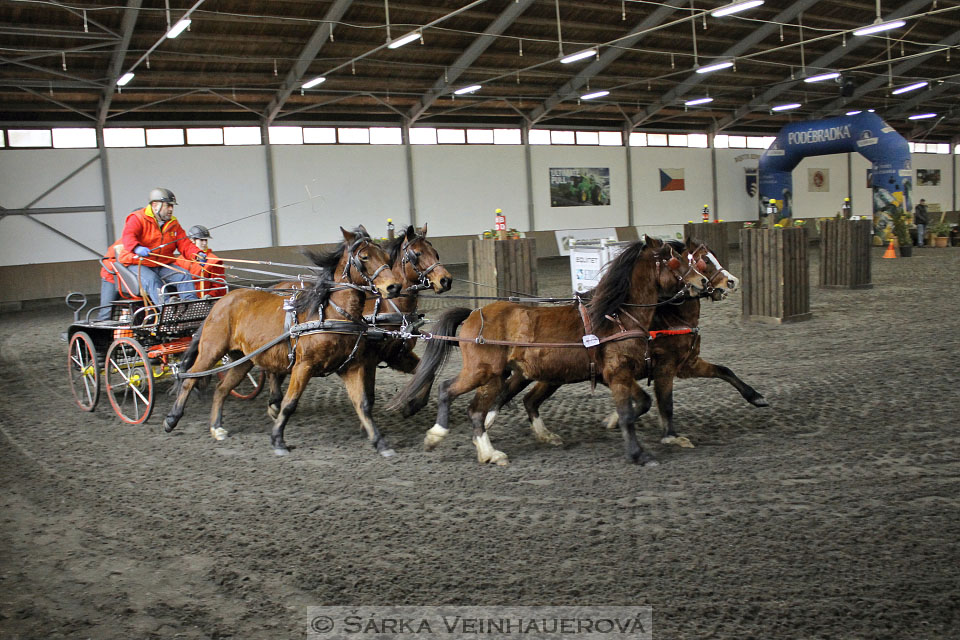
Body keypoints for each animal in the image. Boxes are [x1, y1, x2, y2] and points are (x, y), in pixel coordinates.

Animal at [163, 228, 404, 458]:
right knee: (189, 379)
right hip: (211, 351)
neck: (331, 313)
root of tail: (220, 303)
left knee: (222, 389)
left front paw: (380, 443)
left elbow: (362, 405)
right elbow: (289, 403)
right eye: (364, 257)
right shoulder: (303, 366)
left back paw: (216, 427)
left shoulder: (351, 367)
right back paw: (172, 419)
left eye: (386, 256)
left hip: (243, 360)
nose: (394, 287)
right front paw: (278, 440)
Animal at [258, 222, 454, 432]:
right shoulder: (369, 358)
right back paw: (274, 401)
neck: (387, 307)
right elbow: (369, 393)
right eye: (417, 253)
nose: (446, 280)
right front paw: (366, 424)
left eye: (435, 253)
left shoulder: (396, 355)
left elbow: (427, 372)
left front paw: (412, 406)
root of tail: (275, 286)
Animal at [390, 238, 712, 468]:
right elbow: (627, 414)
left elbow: (642, 402)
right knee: (449, 392)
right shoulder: (617, 373)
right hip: (482, 372)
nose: (703, 282)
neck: (617, 315)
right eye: (674, 259)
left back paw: (491, 451)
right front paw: (638, 454)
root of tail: (473, 313)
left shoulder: (621, 373)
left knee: (478, 410)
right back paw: (440, 436)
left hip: (498, 376)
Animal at [484, 239, 768, 450]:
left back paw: (538, 434)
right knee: (513, 395)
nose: (731, 282)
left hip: (548, 376)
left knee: (527, 400)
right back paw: (489, 426)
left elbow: (724, 371)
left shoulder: (687, 364)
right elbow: (663, 402)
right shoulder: (662, 368)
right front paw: (670, 435)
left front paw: (756, 397)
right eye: (703, 261)